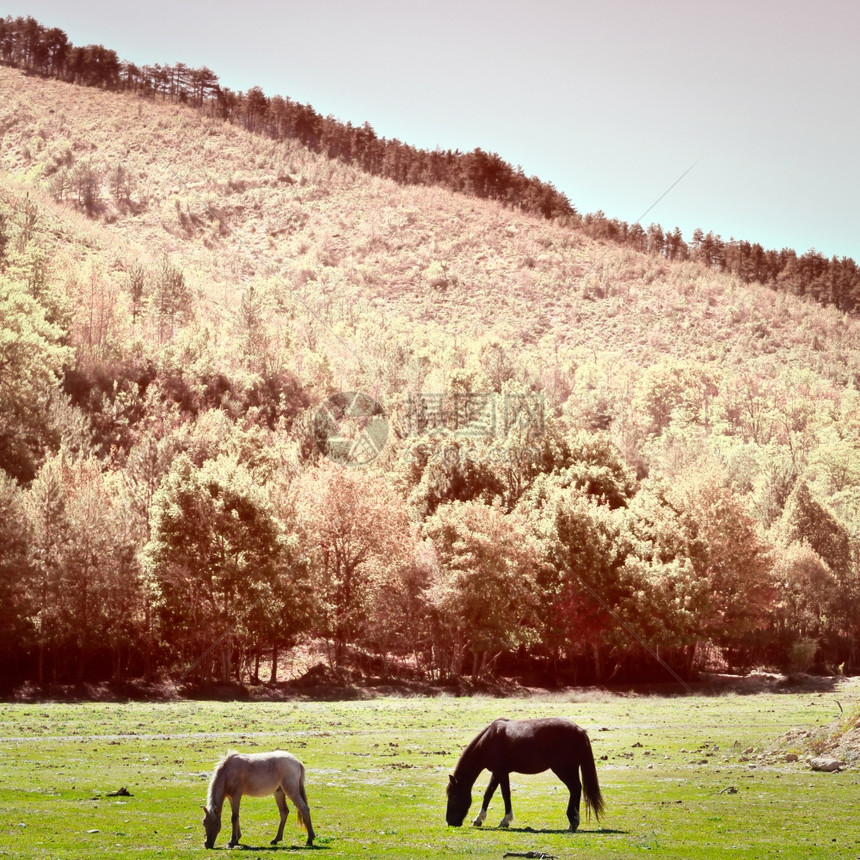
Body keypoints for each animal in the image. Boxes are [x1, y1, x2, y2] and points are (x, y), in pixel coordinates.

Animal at [446, 720, 600, 832]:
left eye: (453, 796)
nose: (450, 822)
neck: (488, 740)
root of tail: (579, 730)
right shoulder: (496, 772)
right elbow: (488, 793)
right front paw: (478, 819)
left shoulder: (502, 772)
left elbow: (505, 794)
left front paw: (505, 820)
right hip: (569, 769)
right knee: (576, 788)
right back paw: (573, 822)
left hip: (563, 769)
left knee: (575, 788)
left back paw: (573, 821)